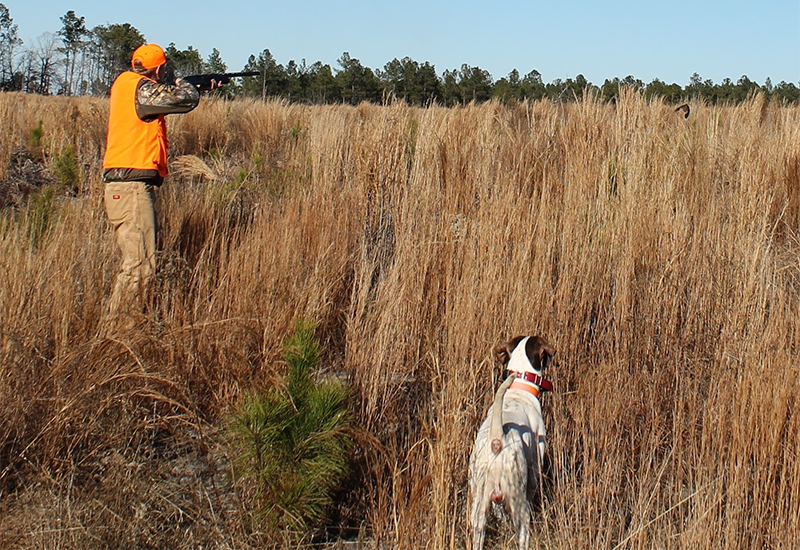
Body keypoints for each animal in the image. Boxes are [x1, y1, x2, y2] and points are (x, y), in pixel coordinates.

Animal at [468, 336, 556, 550]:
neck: (518, 387)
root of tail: (497, 438)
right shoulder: (535, 467)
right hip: (518, 500)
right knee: (523, 531)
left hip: (478, 504)